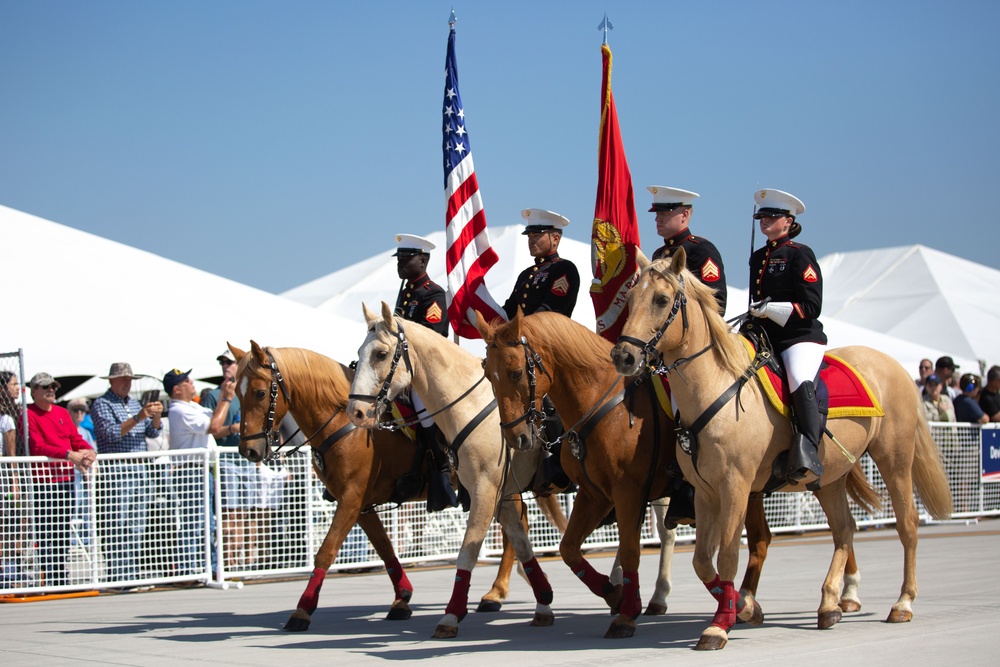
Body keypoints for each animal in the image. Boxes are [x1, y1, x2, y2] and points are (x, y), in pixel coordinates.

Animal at [230, 342, 568, 636]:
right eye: (236, 391)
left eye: (260, 392)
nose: (249, 450)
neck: (344, 422)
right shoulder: (359, 504)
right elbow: (385, 548)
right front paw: (402, 598)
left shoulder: (351, 499)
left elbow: (326, 551)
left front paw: (302, 610)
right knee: (517, 525)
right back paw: (507, 590)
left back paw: (498, 593)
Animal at [350, 302, 556, 636]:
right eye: (359, 352)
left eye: (380, 354)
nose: (355, 411)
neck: (470, 407)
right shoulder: (501, 494)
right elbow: (523, 544)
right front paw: (543, 602)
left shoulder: (485, 491)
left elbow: (468, 552)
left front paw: (451, 615)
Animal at [476, 310, 876, 640]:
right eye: (486, 373)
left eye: (515, 372)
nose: (517, 438)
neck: (601, 401)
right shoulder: (594, 496)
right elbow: (570, 550)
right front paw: (613, 593)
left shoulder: (627, 493)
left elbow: (630, 551)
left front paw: (626, 611)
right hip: (754, 490)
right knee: (776, 538)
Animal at [608, 250, 952, 652]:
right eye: (630, 299)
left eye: (662, 300)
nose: (623, 356)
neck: (715, 386)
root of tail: (892, 364)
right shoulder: (705, 492)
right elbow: (703, 561)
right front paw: (742, 607)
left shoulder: (735, 488)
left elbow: (728, 555)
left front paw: (720, 625)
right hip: (829, 477)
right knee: (844, 530)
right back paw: (829, 604)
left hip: (894, 461)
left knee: (907, 524)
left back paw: (903, 602)